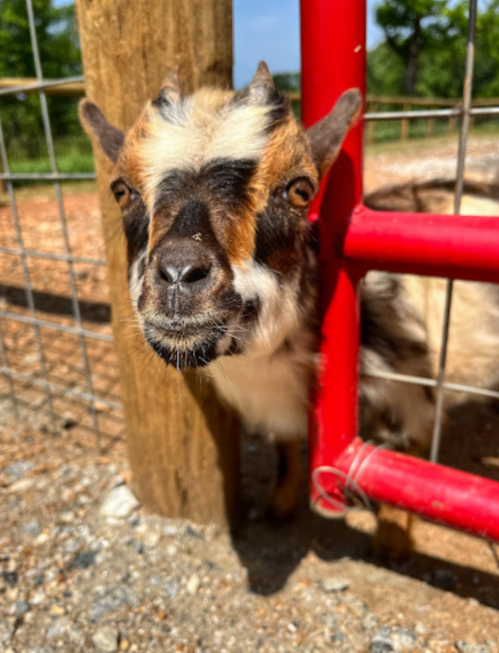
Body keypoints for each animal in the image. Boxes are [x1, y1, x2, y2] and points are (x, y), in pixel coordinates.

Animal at [80, 62, 495, 530]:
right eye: (121, 191)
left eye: (300, 190)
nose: (179, 274)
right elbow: (284, 450)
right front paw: (279, 506)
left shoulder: (414, 402)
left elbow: (403, 479)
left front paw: (391, 536)